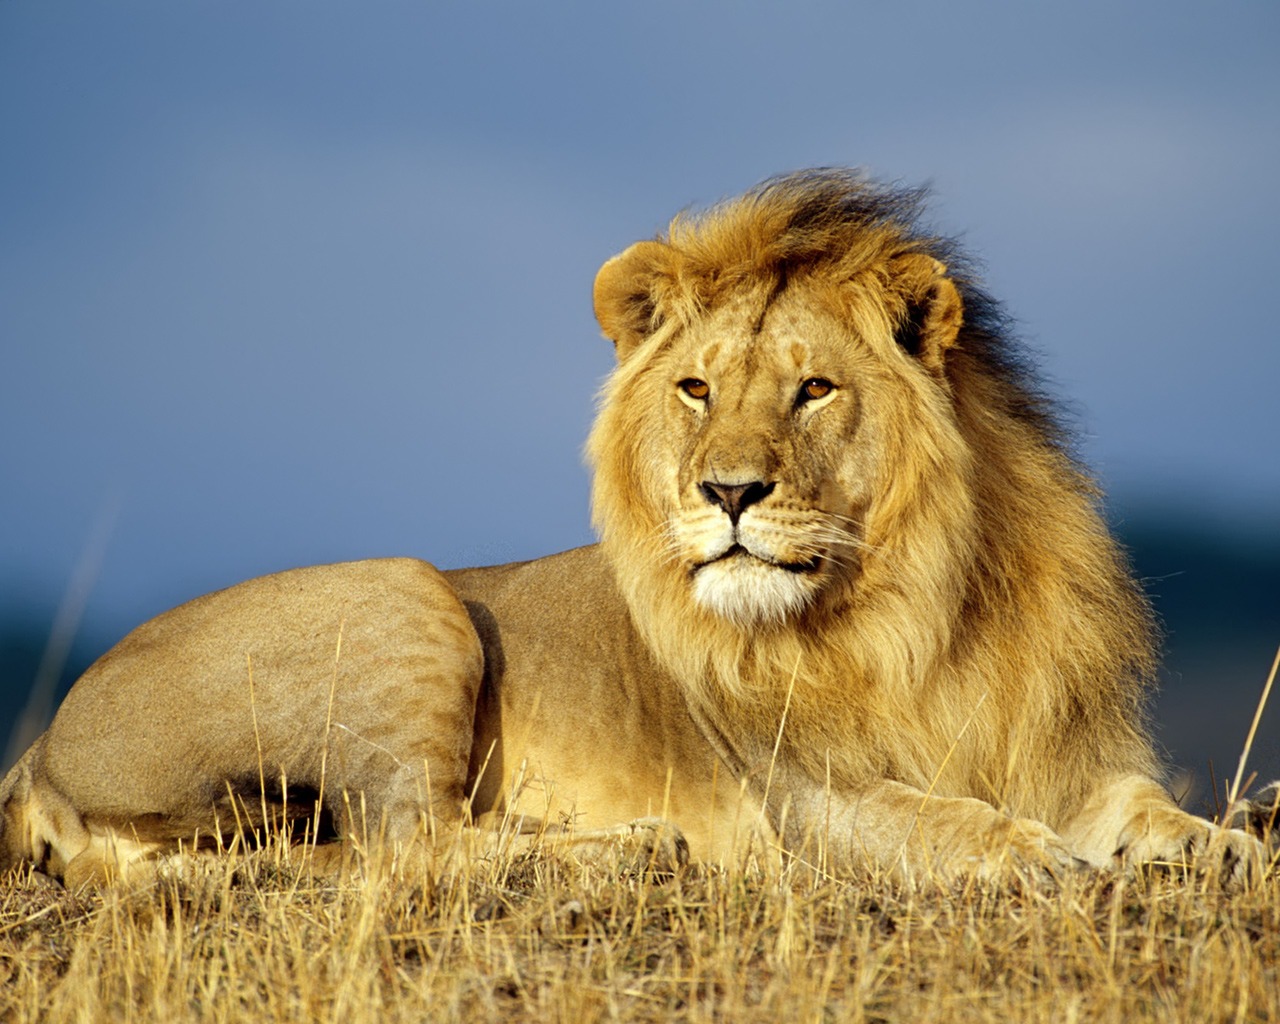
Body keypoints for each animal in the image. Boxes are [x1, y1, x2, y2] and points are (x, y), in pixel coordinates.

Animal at [0, 169, 1264, 889]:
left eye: (812, 389)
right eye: (697, 389)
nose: (727, 493)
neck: (920, 604)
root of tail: (41, 747)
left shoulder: (1064, 750)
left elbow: (1145, 807)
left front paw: (1225, 845)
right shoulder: (800, 797)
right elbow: (929, 817)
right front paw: (1021, 852)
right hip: (407, 592)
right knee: (399, 844)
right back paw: (631, 849)